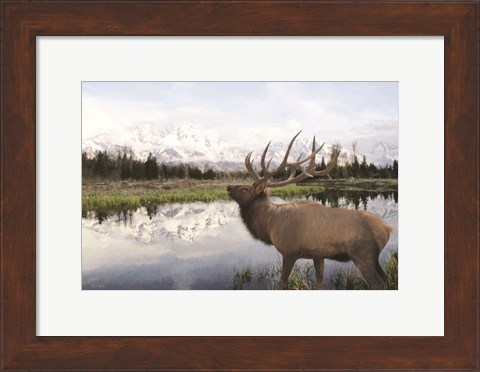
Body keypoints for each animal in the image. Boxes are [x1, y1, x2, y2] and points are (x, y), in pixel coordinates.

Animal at [227, 132, 392, 290]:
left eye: (245, 189)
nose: (228, 186)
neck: (269, 225)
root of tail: (387, 228)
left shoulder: (290, 251)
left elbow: (281, 283)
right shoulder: (318, 254)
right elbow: (319, 283)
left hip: (363, 255)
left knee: (378, 284)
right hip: (374, 258)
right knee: (386, 279)